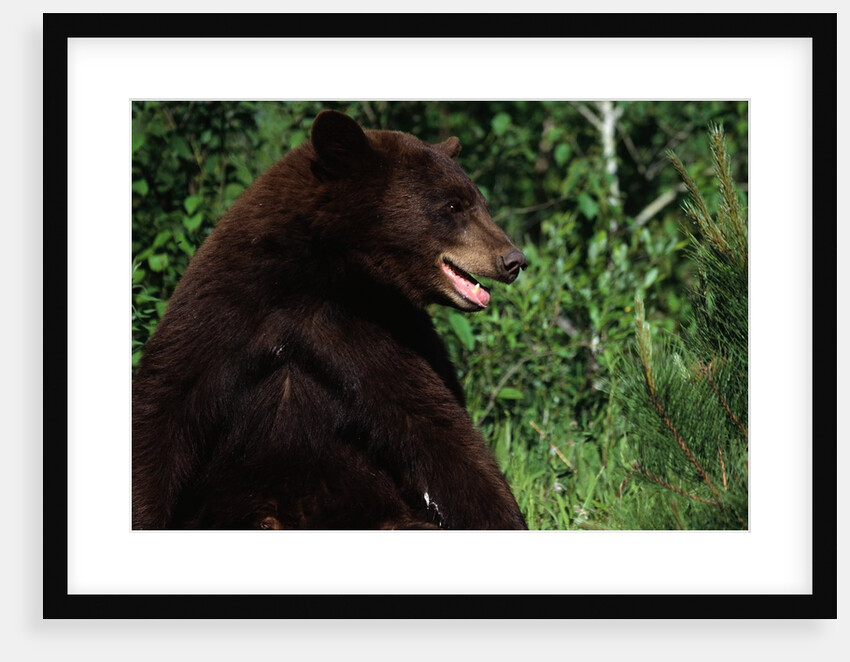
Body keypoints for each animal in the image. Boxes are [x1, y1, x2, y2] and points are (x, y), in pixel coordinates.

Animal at [132, 109, 529, 530]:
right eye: (453, 206)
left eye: (480, 203)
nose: (513, 259)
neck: (322, 275)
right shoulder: (227, 309)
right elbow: (165, 406)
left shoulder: (382, 331)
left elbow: (436, 427)